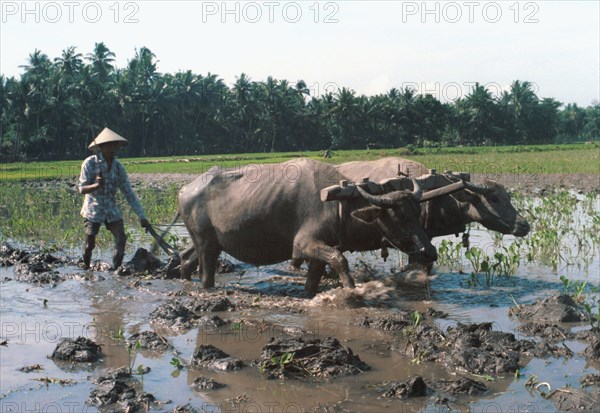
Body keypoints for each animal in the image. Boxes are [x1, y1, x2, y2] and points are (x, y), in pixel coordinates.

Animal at [178, 158, 450, 292]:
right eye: (398, 216)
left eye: (417, 212)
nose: (429, 252)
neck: (339, 203)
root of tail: (184, 190)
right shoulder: (303, 245)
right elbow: (340, 260)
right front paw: (351, 289)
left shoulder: (319, 250)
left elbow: (314, 280)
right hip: (206, 244)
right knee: (205, 274)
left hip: (209, 244)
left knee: (186, 260)